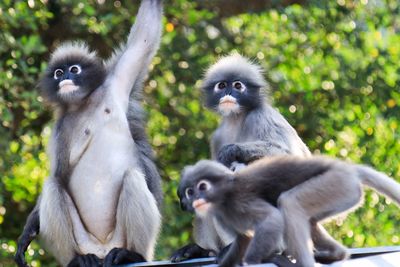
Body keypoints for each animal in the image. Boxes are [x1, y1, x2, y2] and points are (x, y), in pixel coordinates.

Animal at [14, 1, 163, 266]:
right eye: (58, 73)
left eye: (74, 69)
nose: (66, 77)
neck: (83, 104)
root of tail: (103, 249)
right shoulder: (58, 131)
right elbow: (59, 174)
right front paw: (28, 230)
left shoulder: (115, 83)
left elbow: (143, 40)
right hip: (83, 242)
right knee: (52, 185)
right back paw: (78, 259)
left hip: (124, 239)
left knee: (133, 178)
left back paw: (131, 254)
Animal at [178, 157, 400, 267]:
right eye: (190, 191)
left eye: (202, 187)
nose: (195, 200)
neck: (224, 196)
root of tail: (348, 169)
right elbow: (243, 239)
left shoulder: (241, 201)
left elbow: (272, 219)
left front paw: (252, 261)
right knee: (308, 219)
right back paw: (336, 254)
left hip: (336, 183)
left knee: (289, 203)